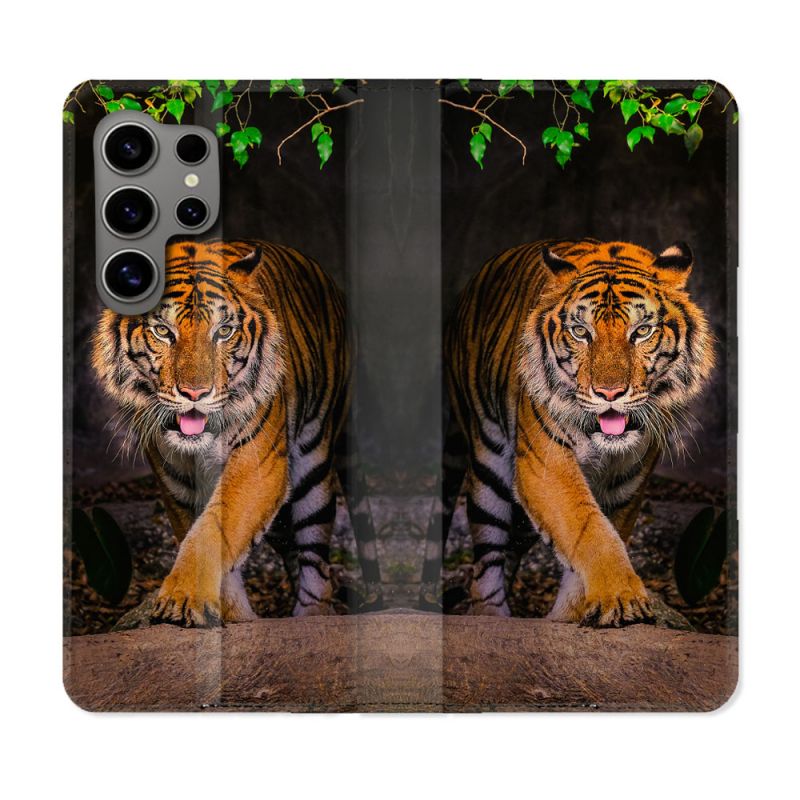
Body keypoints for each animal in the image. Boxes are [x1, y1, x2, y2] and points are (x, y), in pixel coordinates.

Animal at [92, 238, 382, 627]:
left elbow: (213, 530)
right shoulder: (176, 484)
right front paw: (231, 615)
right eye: (163, 332)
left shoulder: (257, 466)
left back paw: (310, 616)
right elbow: (206, 538)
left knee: (317, 565)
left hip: (313, 467)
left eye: (224, 332)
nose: (196, 393)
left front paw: (182, 598)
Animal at [421, 239, 714, 627]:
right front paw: (622, 597)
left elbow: (601, 535)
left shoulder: (627, 484)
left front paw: (573, 614)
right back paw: (492, 615)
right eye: (580, 333)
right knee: (486, 562)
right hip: (488, 467)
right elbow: (589, 529)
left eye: (641, 332)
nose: (609, 393)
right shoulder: (545, 466)